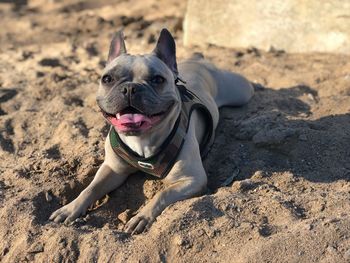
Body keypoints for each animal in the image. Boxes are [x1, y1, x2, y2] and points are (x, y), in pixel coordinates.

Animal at [49, 29, 253, 235]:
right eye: (107, 79)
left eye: (158, 80)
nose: (130, 88)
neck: (142, 140)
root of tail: (199, 60)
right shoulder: (112, 169)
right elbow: (90, 189)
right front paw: (70, 208)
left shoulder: (192, 179)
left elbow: (163, 193)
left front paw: (142, 217)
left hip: (242, 91)